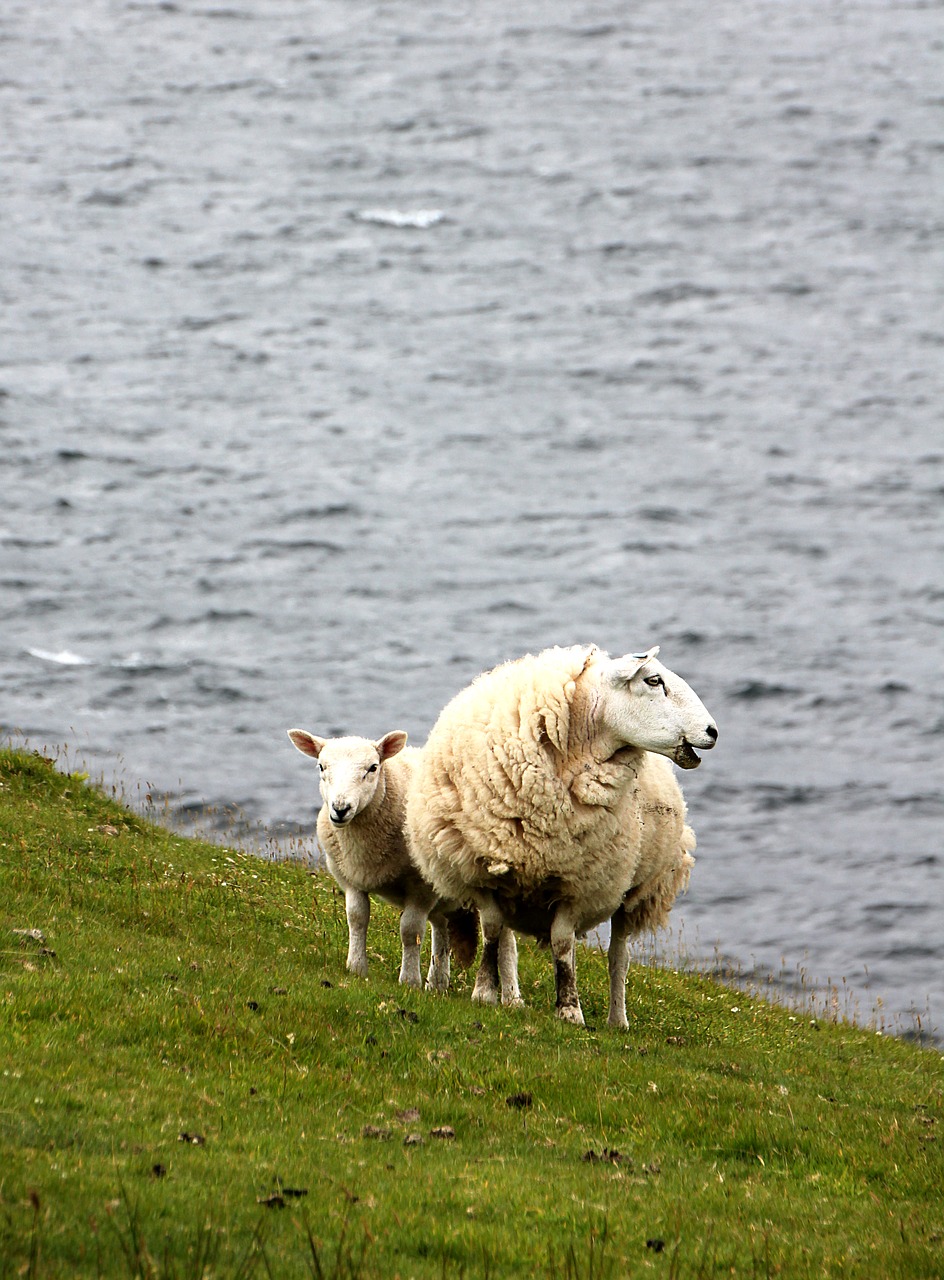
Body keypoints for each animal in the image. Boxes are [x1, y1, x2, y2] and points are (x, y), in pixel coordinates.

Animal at [285, 732, 478, 988]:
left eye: (373, 767)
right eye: (321, 766)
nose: (340, 809)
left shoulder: (421, 888)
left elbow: (410, 931)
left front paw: (409, 981)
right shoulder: (351, 878)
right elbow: (356, 918)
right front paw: (356, 968)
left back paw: (499, 993)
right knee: (441, 927)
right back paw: (437, 984)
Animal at [401, 645, 716, 1024]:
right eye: (654, 681)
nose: (713, 731)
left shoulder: (577, 884)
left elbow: (563, 944)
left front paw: (569, 1009)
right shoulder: (484, 870)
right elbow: (491, 929)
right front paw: (484, 992)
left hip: (636, 890)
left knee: (619, 958)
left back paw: (617, 1020)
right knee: (507, 939)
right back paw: (510, 996)